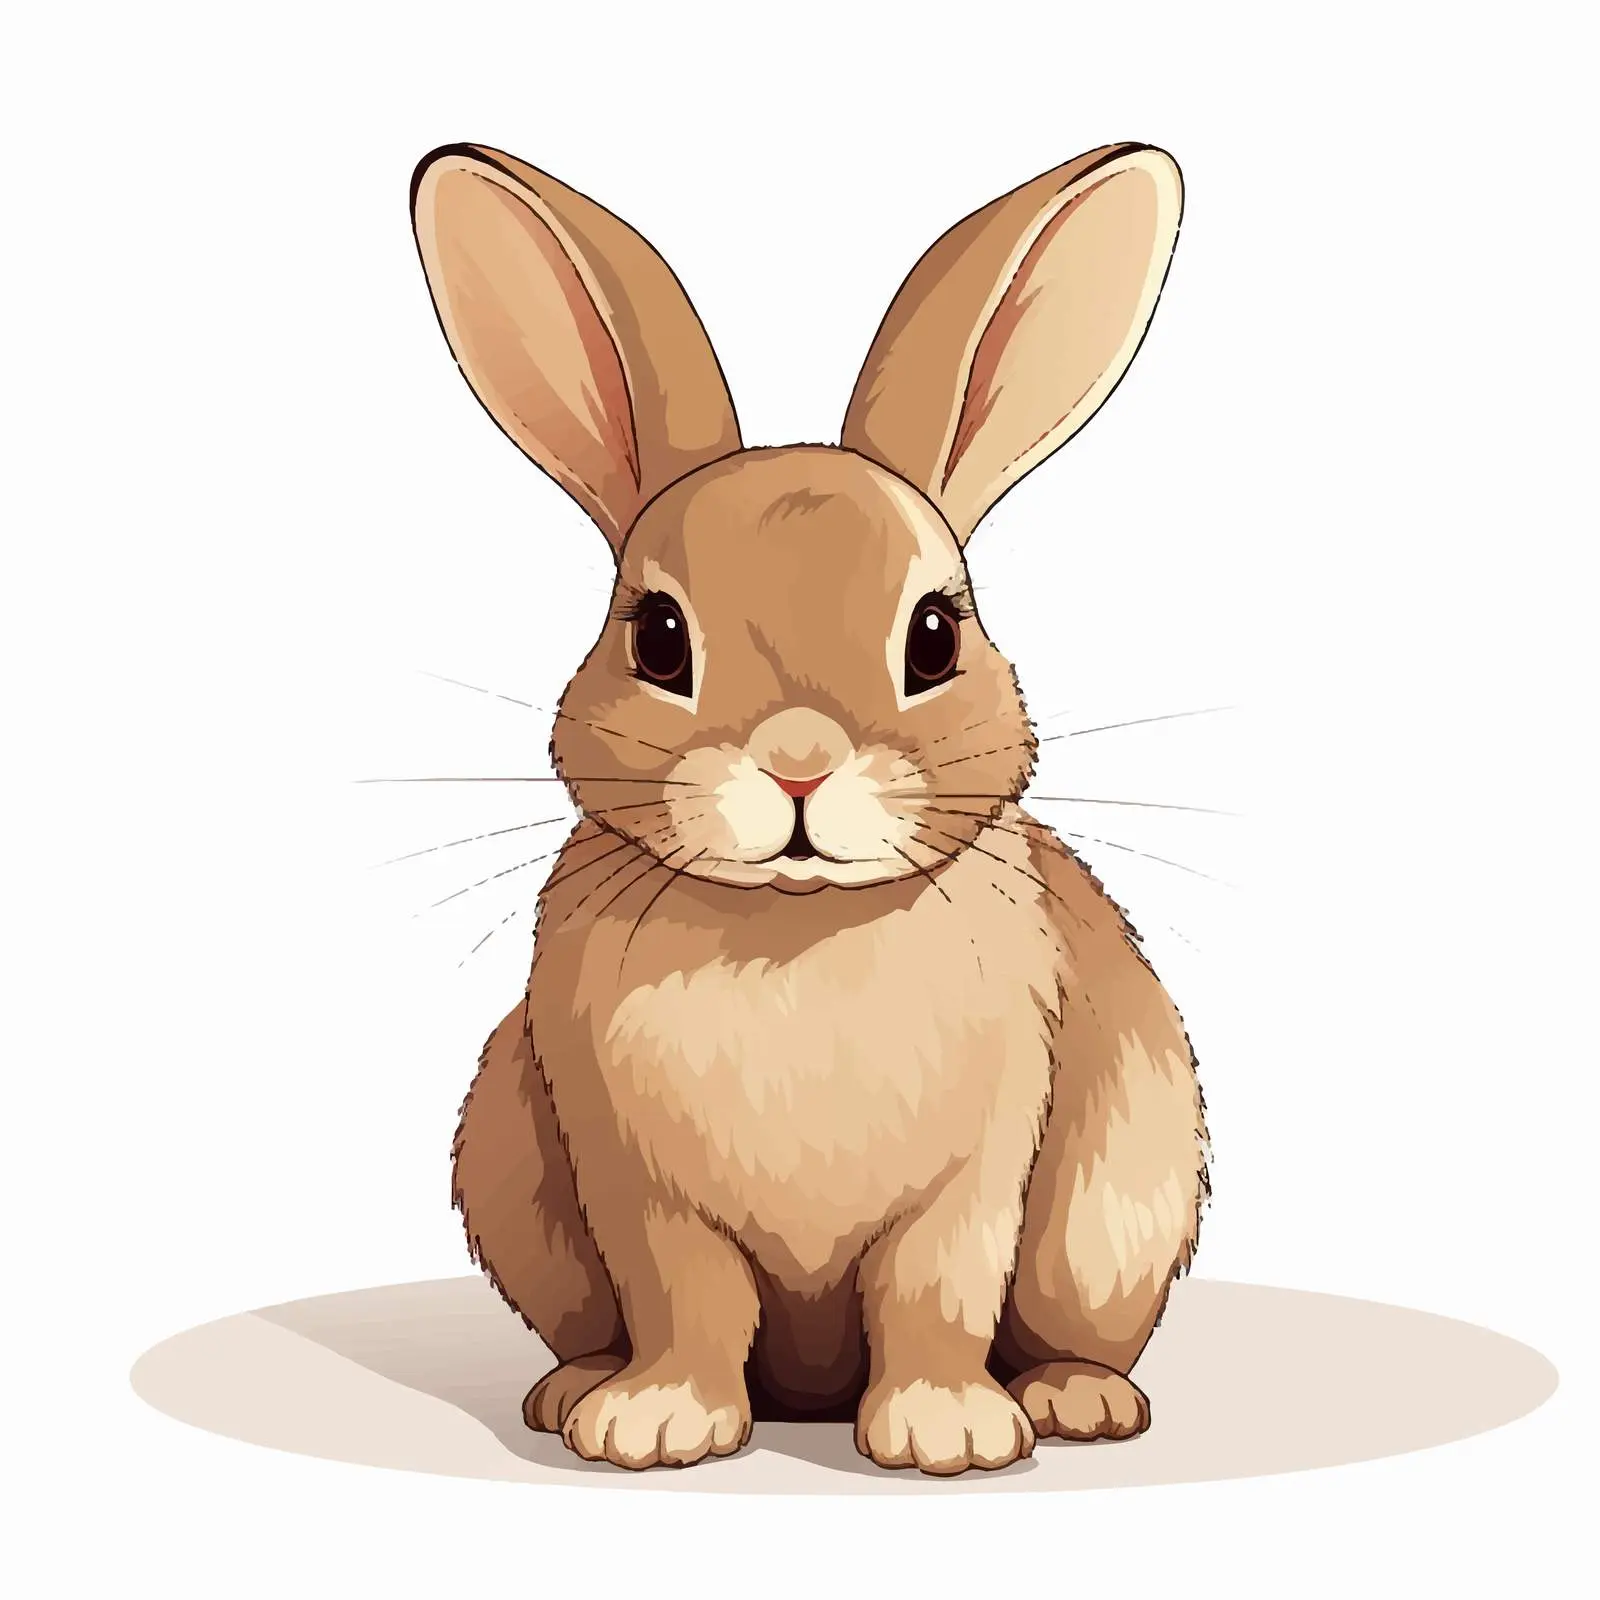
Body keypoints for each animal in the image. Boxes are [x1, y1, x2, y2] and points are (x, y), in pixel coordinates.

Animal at [411, 138, 1210, 1476]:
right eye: (657, 636)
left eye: (935, 635)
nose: (797, 767)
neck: (792, 931)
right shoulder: (638, 1185)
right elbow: (685, 1301)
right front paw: (654, 1423)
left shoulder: (972, 1177)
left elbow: (934, 1293)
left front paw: (947, 1434)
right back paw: (569, 1390)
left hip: (1119, 1219)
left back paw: (1075, 1402)